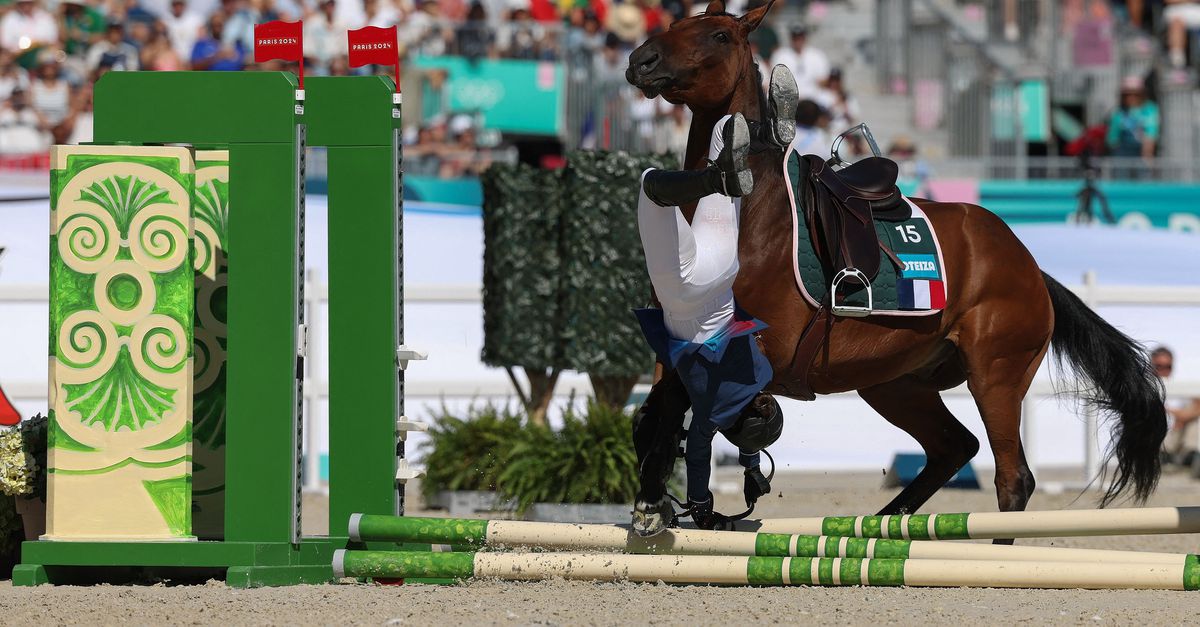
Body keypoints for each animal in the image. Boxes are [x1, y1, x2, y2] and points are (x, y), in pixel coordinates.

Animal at [624, 0, 1166, 530]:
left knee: (1013, 479)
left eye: (718, 36)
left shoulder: (756, 346)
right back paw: (880, 527)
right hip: (894, 383)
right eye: (676, 21)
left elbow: (681, 403)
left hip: (995, 376)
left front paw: (660, 497)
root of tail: (1029, 264)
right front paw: (660, 495)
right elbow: (656, 408)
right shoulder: (676, 341)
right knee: (953, 447)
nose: (641, 61)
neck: (740, 212)